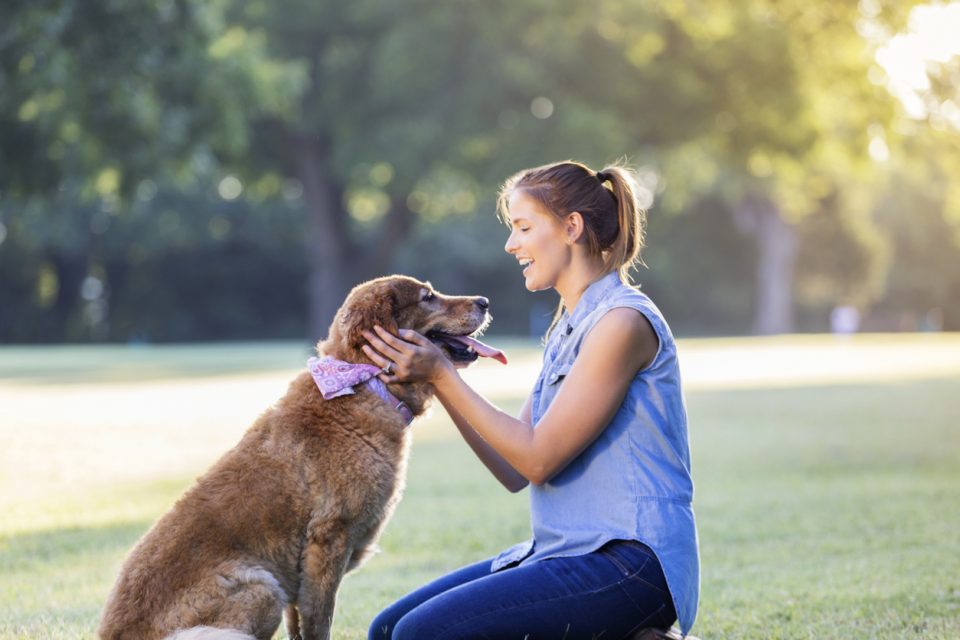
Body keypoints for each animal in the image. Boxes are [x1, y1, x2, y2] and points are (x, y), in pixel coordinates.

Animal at [98, 276, 506, 640]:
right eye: (427, 297)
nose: (485, 301)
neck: (365, 382)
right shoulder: (328, 541)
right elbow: (318, 621)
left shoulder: (301, 568)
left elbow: (298, 625)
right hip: (262, 587)